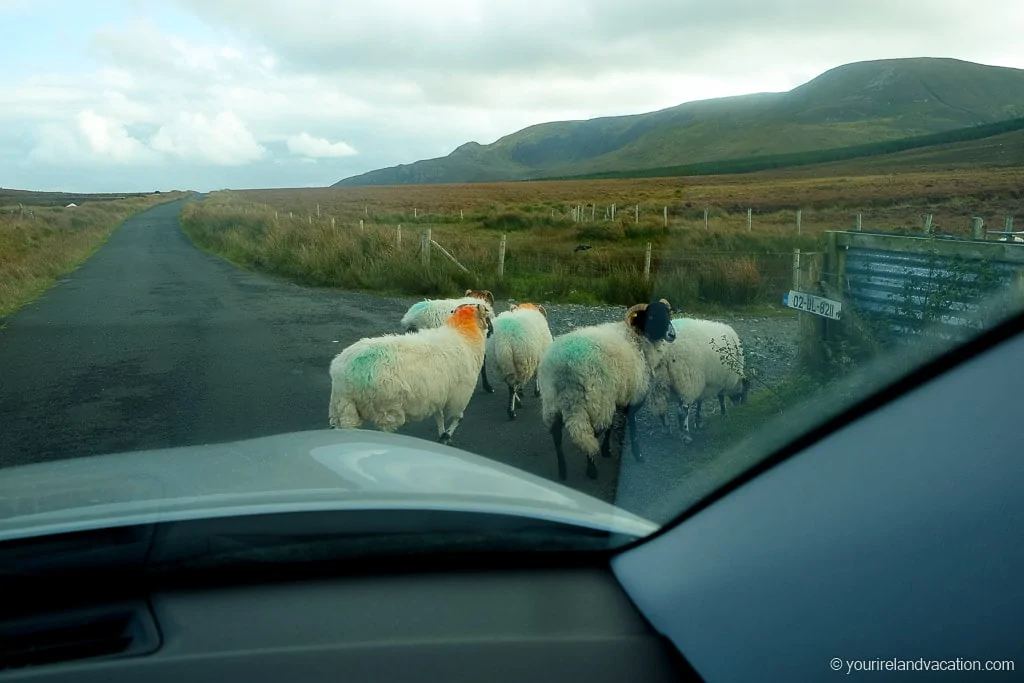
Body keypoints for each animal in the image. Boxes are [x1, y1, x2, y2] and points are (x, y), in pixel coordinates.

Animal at [325, 303, 489, 444]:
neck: (464, 331)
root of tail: (343, 373)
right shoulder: (459, 396)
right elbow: (458, 418)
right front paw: (446, 436)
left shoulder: (439, 393)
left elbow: (439, 416)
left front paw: (442, 433)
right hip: (386, 409)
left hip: (341, 406)